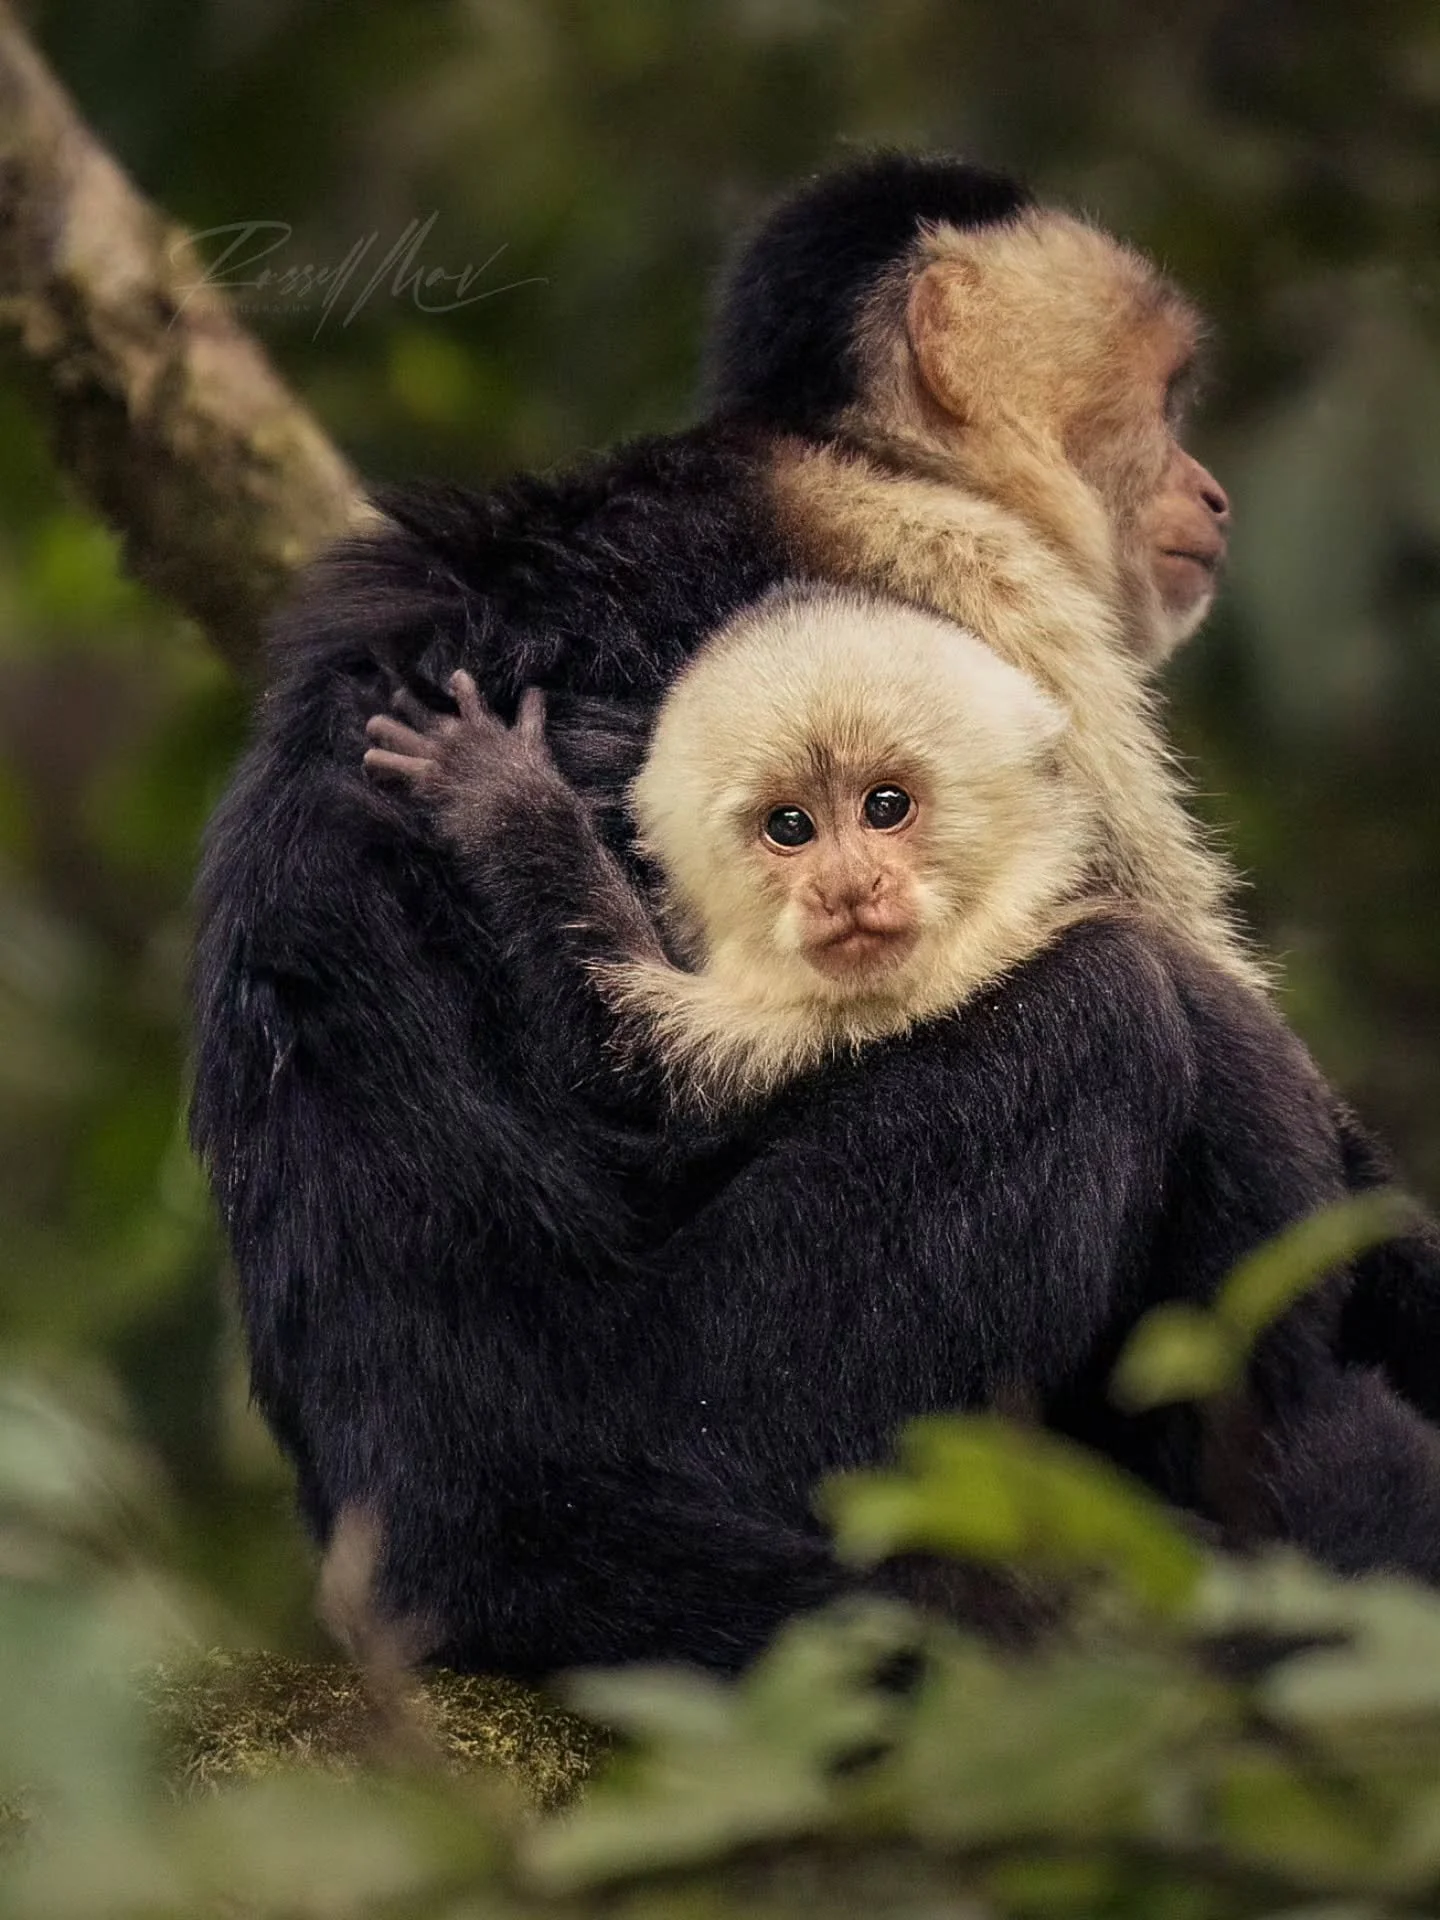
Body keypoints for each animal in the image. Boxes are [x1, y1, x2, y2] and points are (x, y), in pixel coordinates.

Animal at [193, 151, 1440, 1676]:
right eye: (1160, 400)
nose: (1211, 496)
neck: (849, 456)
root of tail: (462, 1528)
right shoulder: (970, 581)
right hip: (733, 1398)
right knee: (1126, 1011)